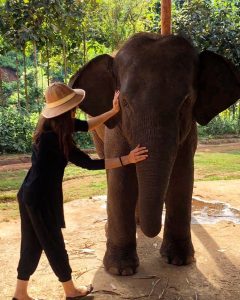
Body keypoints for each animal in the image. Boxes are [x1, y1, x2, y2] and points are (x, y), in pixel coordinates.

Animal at [68, 32, 240, 274]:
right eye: (123, 102)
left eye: (187, 102)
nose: (151, 231)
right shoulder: (116, 127)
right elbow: (121, 179)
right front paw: (121, 271)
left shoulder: (189, 130)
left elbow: (182, 176)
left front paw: (179, 260)